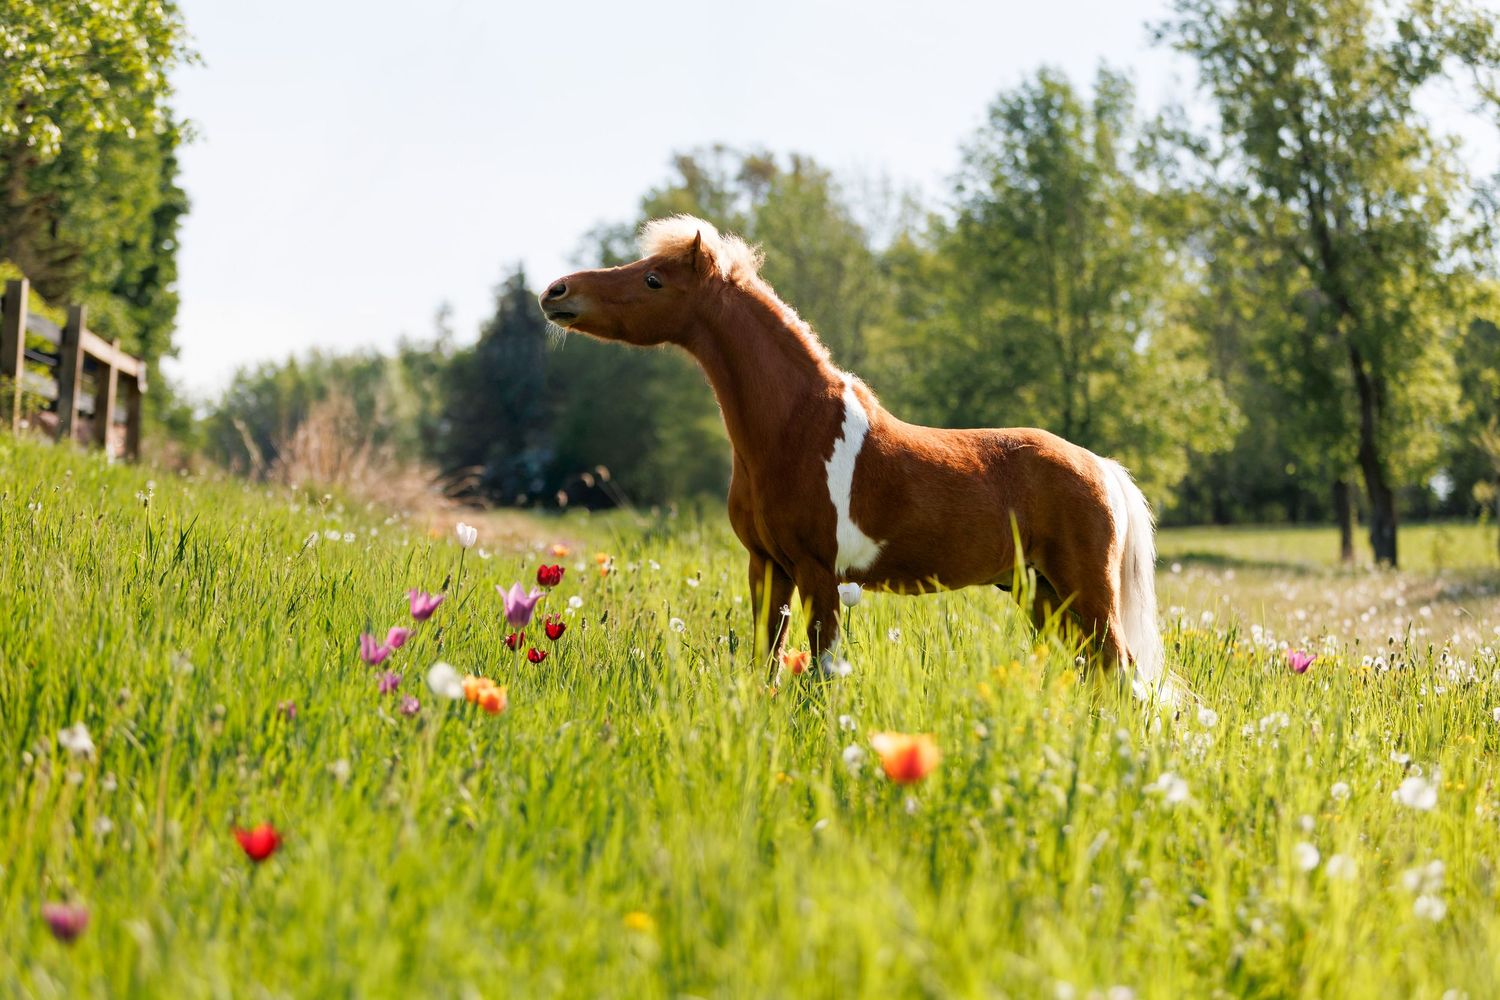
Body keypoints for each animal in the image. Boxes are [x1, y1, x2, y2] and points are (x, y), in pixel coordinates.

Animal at [540, 215, 1175, 704]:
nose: (556, 292)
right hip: (1041, 593)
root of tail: (1101, 468)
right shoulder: (766, 567)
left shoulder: (818, 573)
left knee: (1121, 671)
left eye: (652, 279)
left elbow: (823, 672)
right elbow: (766, 662)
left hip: (1085, 592)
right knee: (1098, 671)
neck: (794, 429)